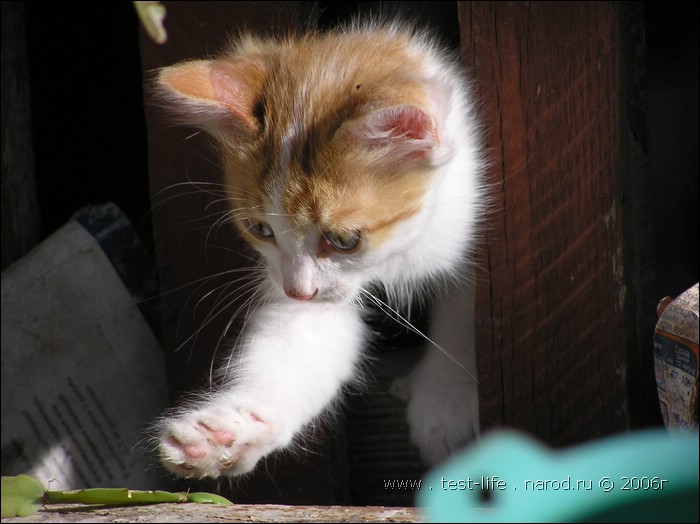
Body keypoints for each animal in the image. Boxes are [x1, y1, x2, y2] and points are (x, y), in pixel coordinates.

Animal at [153, 21, 484, 478]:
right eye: (260, 229)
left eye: (344, 240)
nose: (299, 291)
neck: (403, 251)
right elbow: (301, 344)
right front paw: (233, 427)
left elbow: (464, 311)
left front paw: (445, 400)